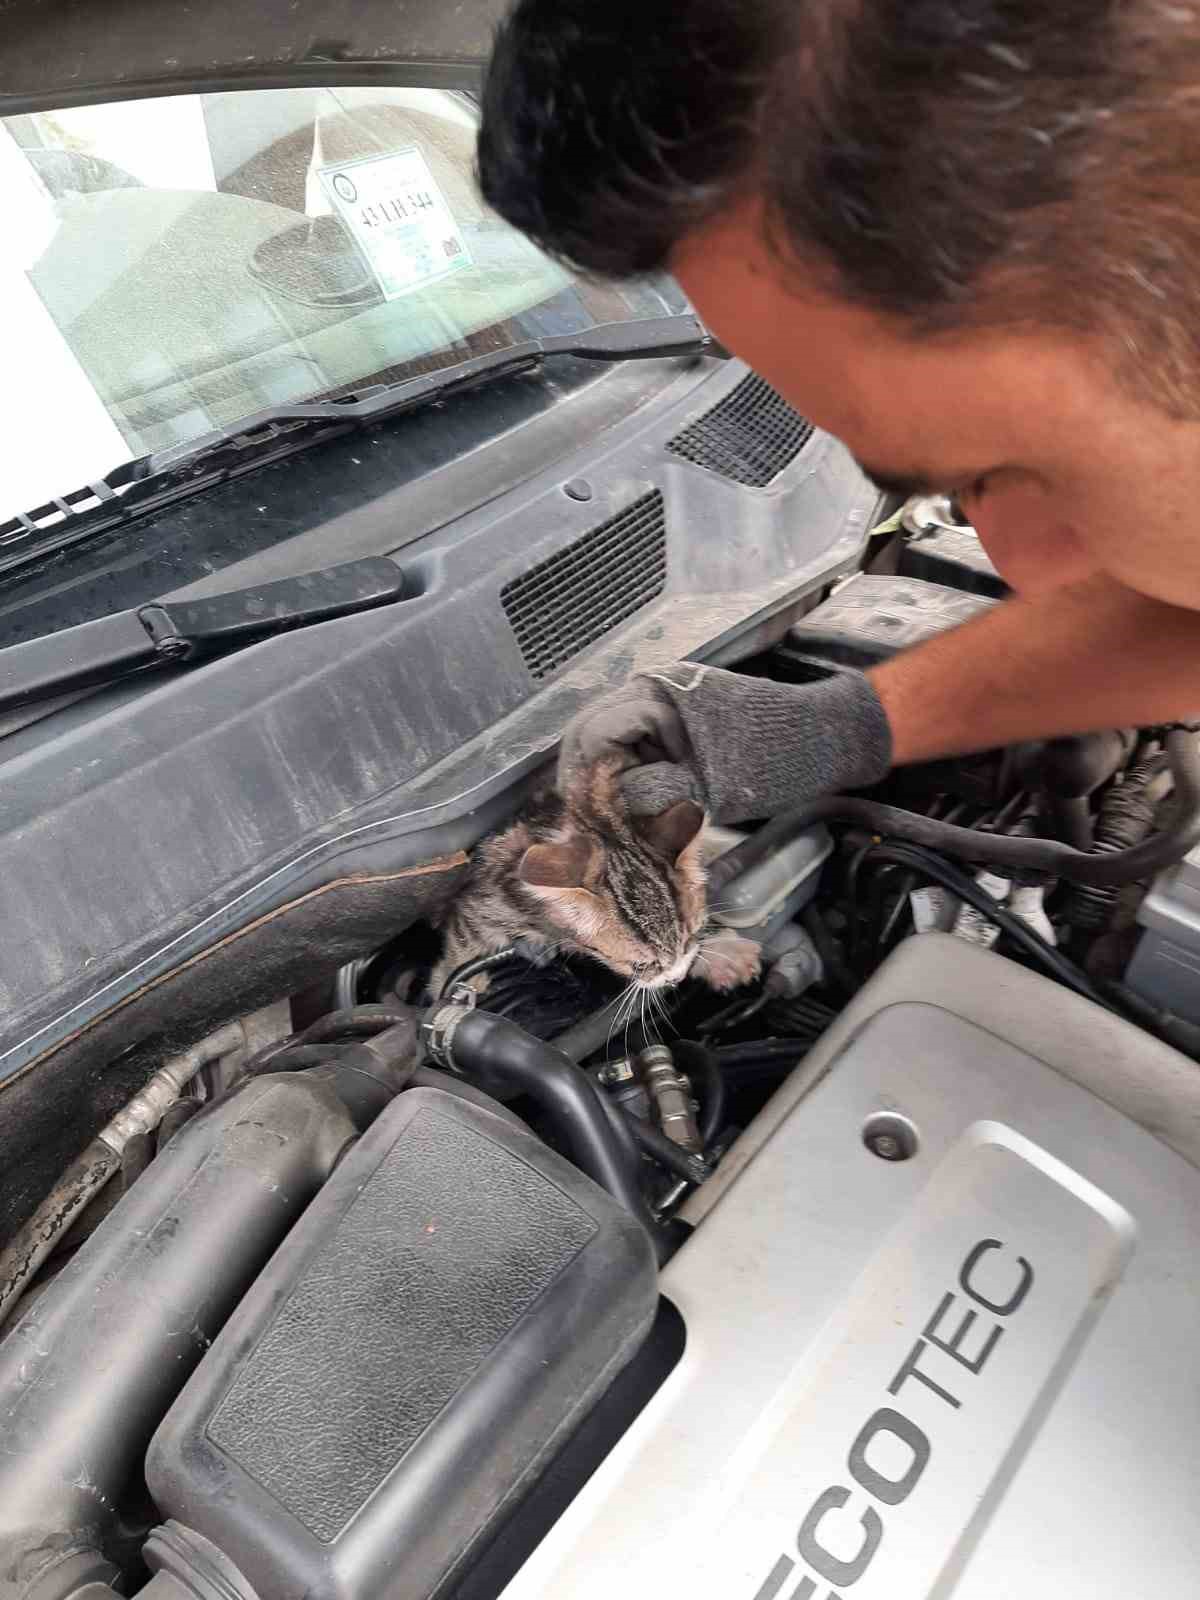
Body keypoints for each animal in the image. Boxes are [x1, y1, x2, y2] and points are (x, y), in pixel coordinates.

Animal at [435, 758, 761, 998]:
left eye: (691, 937)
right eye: (641, 965)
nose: (676, 979)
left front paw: (719, 951)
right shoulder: (488, 895)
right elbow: (466, 935)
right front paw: (452, 987)